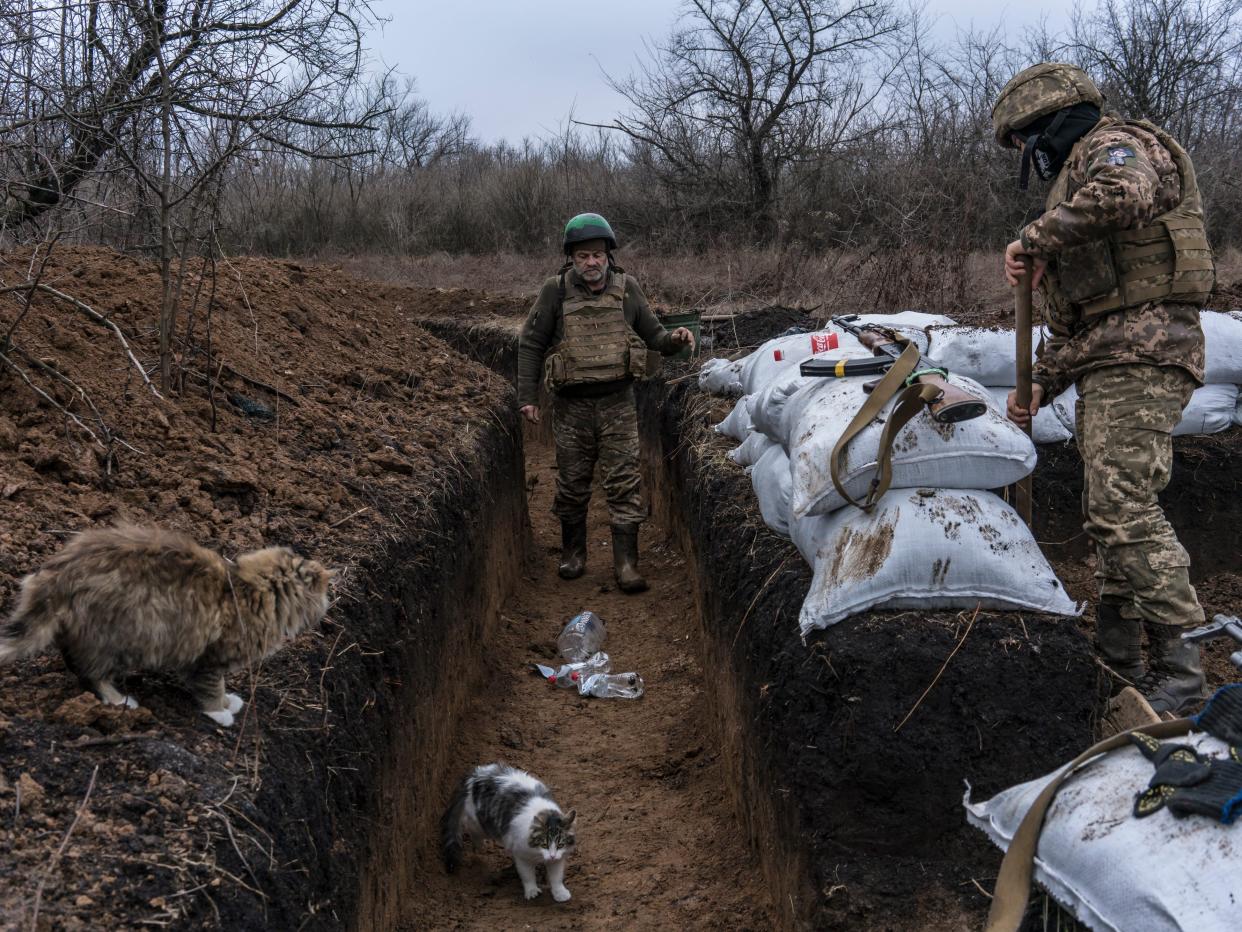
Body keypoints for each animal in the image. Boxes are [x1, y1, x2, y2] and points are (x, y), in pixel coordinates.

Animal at [0, 526, 332, 730]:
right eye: (323, 592)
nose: (328, 603)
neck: (248, 590)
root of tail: (60, 571)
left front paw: (228, 702)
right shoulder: (209, 658)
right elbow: (211, 687)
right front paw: (220, 711)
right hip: (117, 636)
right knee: (93, 673)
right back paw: (119, 700)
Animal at [444, 760, 578, 899]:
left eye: (560, 844)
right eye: (544, 844)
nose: (552, 856)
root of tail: (476, 773)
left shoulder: (559, 859)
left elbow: (556, 877)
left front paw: (560, 893)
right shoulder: (522, 856)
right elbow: (528, 876)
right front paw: (531, 891)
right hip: (481, 823)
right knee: (470, 828)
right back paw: (478, 849)